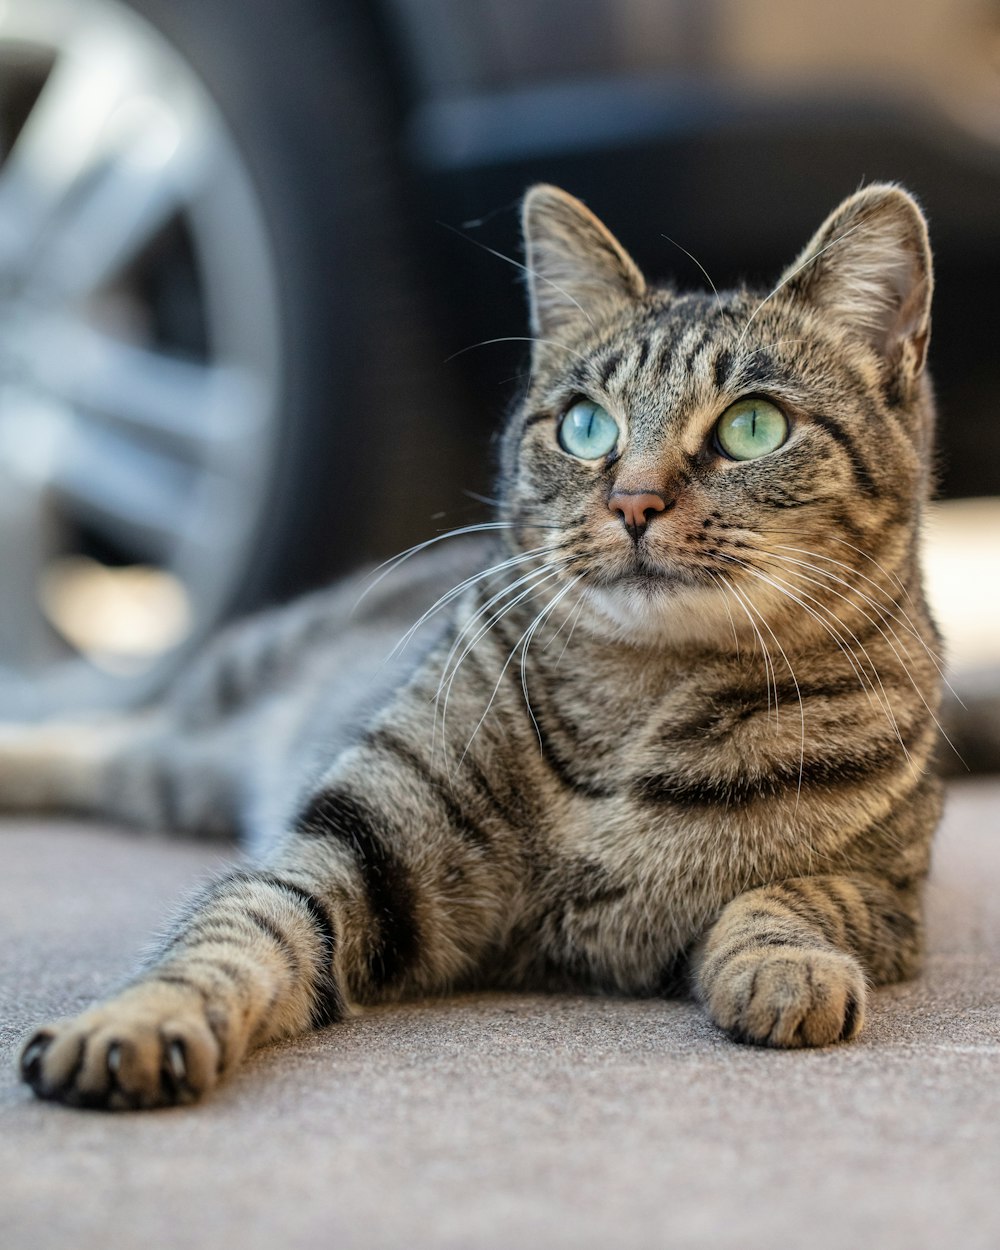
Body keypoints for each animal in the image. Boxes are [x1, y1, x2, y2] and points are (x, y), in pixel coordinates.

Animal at [11, 182, 940, 1105]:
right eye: (586, 428)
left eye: (753, 427)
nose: (634, 502)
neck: (633, 702)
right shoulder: (355, 845)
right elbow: (241, 924)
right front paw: (136, 1019)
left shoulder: (893, 895)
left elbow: (794, 898)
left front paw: (788, 967)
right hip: (215, 721)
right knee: (107, 735)